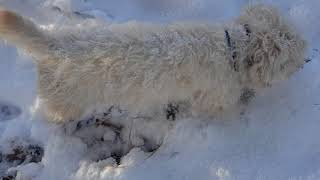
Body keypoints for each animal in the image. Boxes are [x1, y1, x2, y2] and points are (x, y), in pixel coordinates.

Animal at [0, 4, 306, 122]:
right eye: (290, 59)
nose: (305, 63)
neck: (232, 47)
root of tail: (53, 44)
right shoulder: (214, 95)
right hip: (65, 102)